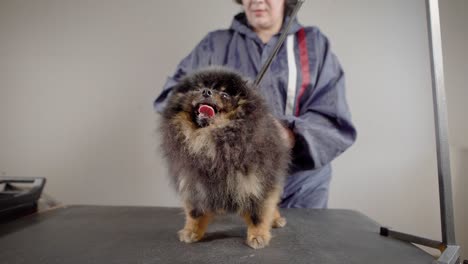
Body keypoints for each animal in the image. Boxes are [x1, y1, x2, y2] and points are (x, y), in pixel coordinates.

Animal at [161, 67, 292, 249]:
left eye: (224, 94)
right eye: (197, 88)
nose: (206, 91)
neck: (209, 137)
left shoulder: (255, 182)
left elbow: (258, 214)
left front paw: (258, 236)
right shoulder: (194, 183)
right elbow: (195, 213)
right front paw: (191, 231)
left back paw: (276, 219)